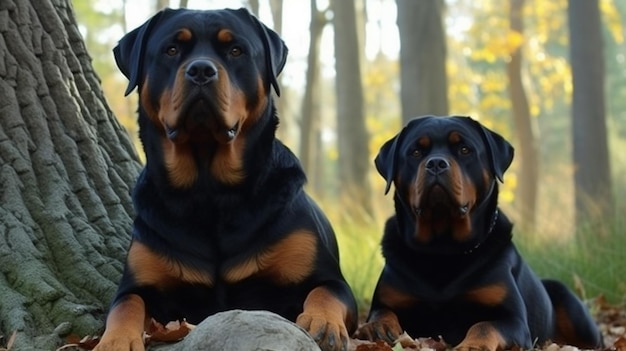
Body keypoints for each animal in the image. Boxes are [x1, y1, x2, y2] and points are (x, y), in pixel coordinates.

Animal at [94, 7, 356, 351]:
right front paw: (115, 340)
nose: (201, 70)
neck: (209, 190)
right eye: (171, 50)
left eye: (235, 51)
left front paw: (322, 323)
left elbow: (325, 291)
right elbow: (126, 304)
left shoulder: (329, 277)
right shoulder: (138, 281)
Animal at [352, 117, 600, 350]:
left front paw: (472, 345)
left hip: (572, 307)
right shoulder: (388, 299)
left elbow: (484, 325)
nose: (436, 163)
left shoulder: (512, 319)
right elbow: (382, 312)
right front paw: (378, 326)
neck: (441, 249)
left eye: (464, 149)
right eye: (415, 152)